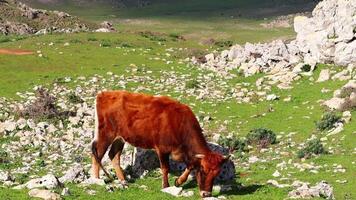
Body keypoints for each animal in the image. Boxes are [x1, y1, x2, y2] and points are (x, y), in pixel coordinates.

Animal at [92, 91, 229, 198]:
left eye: (216, 174)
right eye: (204, 171)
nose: (206, 194)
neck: (178, 122)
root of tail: (104, 94)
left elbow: (190, 166)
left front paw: (178, 181)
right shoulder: (162, 148)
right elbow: (165, 168)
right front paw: (166, 186)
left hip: (119, 138)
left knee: (113, 155)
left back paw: (123, 180)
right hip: (106, 133)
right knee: (97, 154)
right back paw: (96, 179)